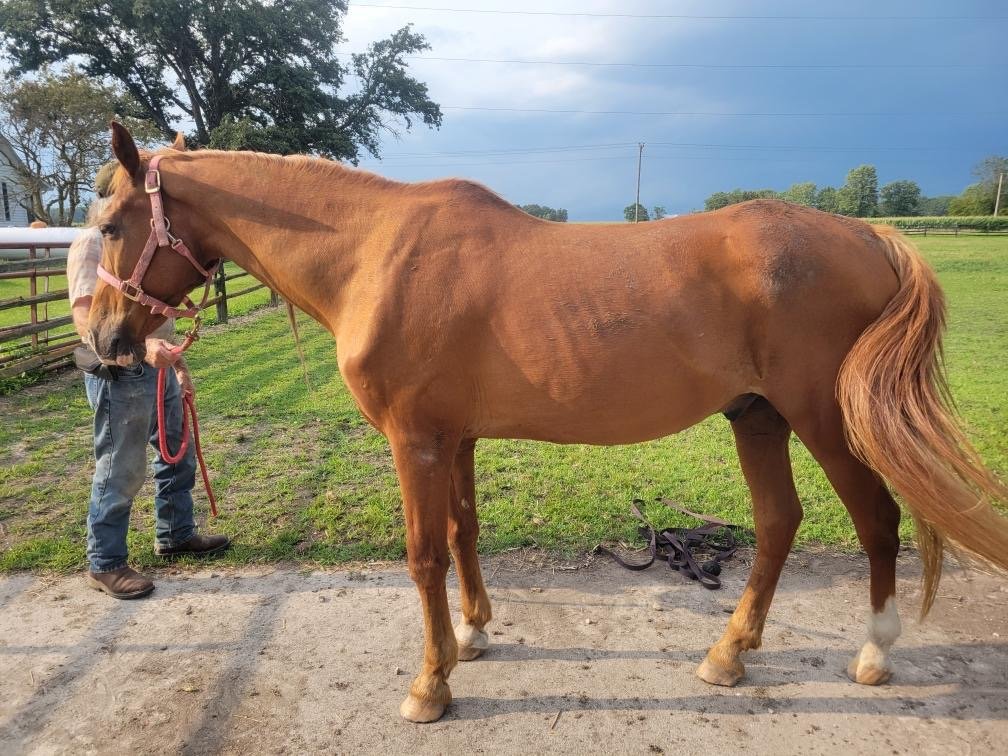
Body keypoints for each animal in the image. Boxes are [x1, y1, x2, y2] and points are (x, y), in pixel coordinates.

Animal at [88, 123, 1008, 723]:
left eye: (111, 224)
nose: (103, 341)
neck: (376, 252)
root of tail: (871, 235)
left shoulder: (414, 440)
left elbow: (422, 555)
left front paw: (430, 685)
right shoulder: (453, 437)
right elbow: (461, 533)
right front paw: (473, 634)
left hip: (822, 417)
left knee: (877, 520)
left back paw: (875, 653)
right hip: (758, 418)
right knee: (780, 522)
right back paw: (727, 656)